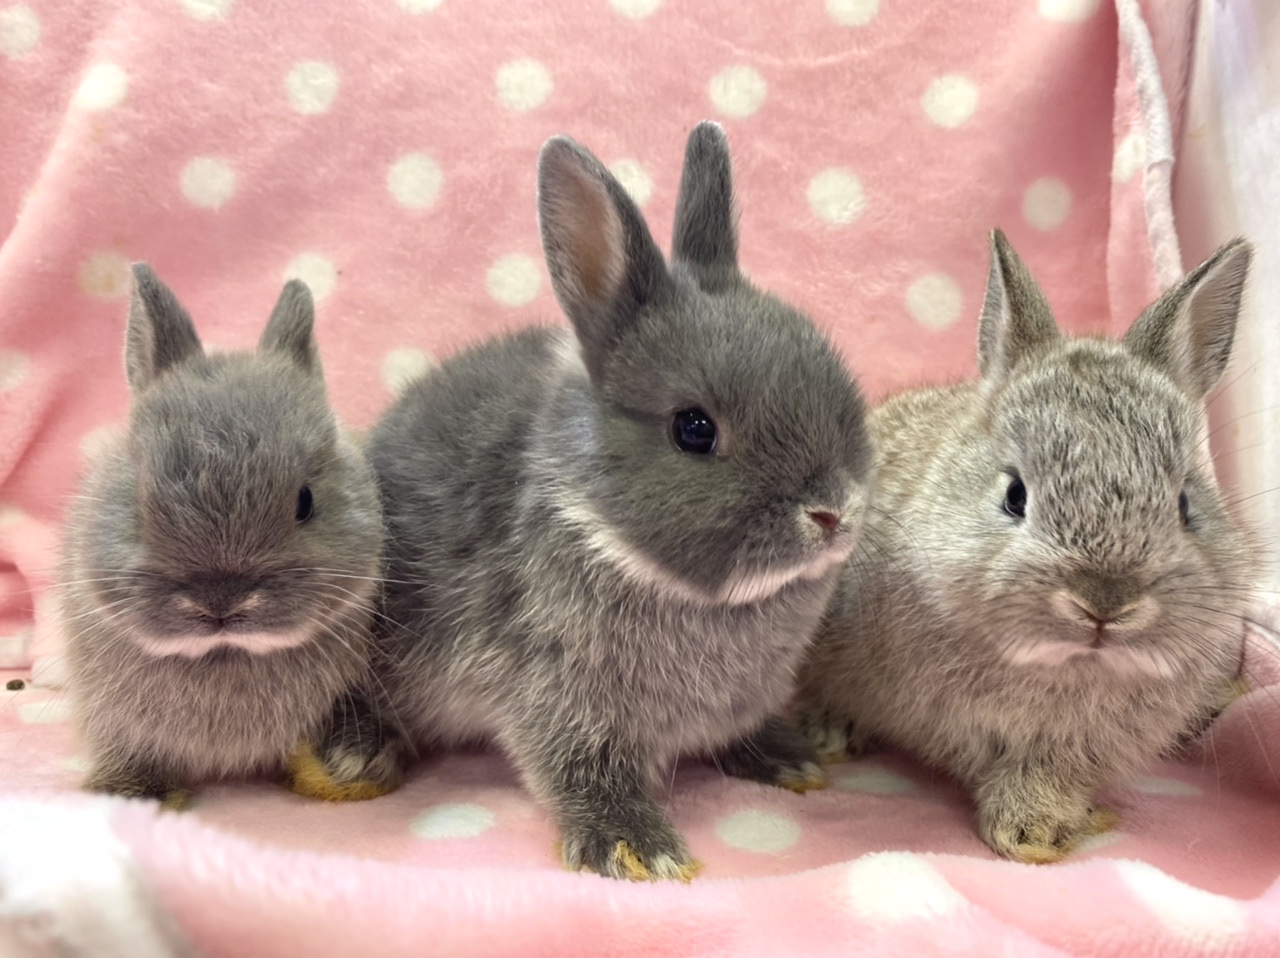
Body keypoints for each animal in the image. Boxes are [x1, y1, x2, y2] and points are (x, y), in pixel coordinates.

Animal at [60, 265, 383, 807]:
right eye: (139, 503)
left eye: (306, 501)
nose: (221, 600)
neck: (227, 652)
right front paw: (130, 793)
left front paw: (348, 768)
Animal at [305, 122, 873, 881]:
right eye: (694, 429)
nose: (834, 511)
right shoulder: (554, 695)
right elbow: (581, 769)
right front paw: (637, 849)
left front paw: (789, 759)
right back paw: (354, 755)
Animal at [795, 230, 1259, 864]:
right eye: (1015, 495)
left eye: (1186, 504)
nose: (1104, 604)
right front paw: (1029, 835)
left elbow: (1046, 774)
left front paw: (1034, 831)